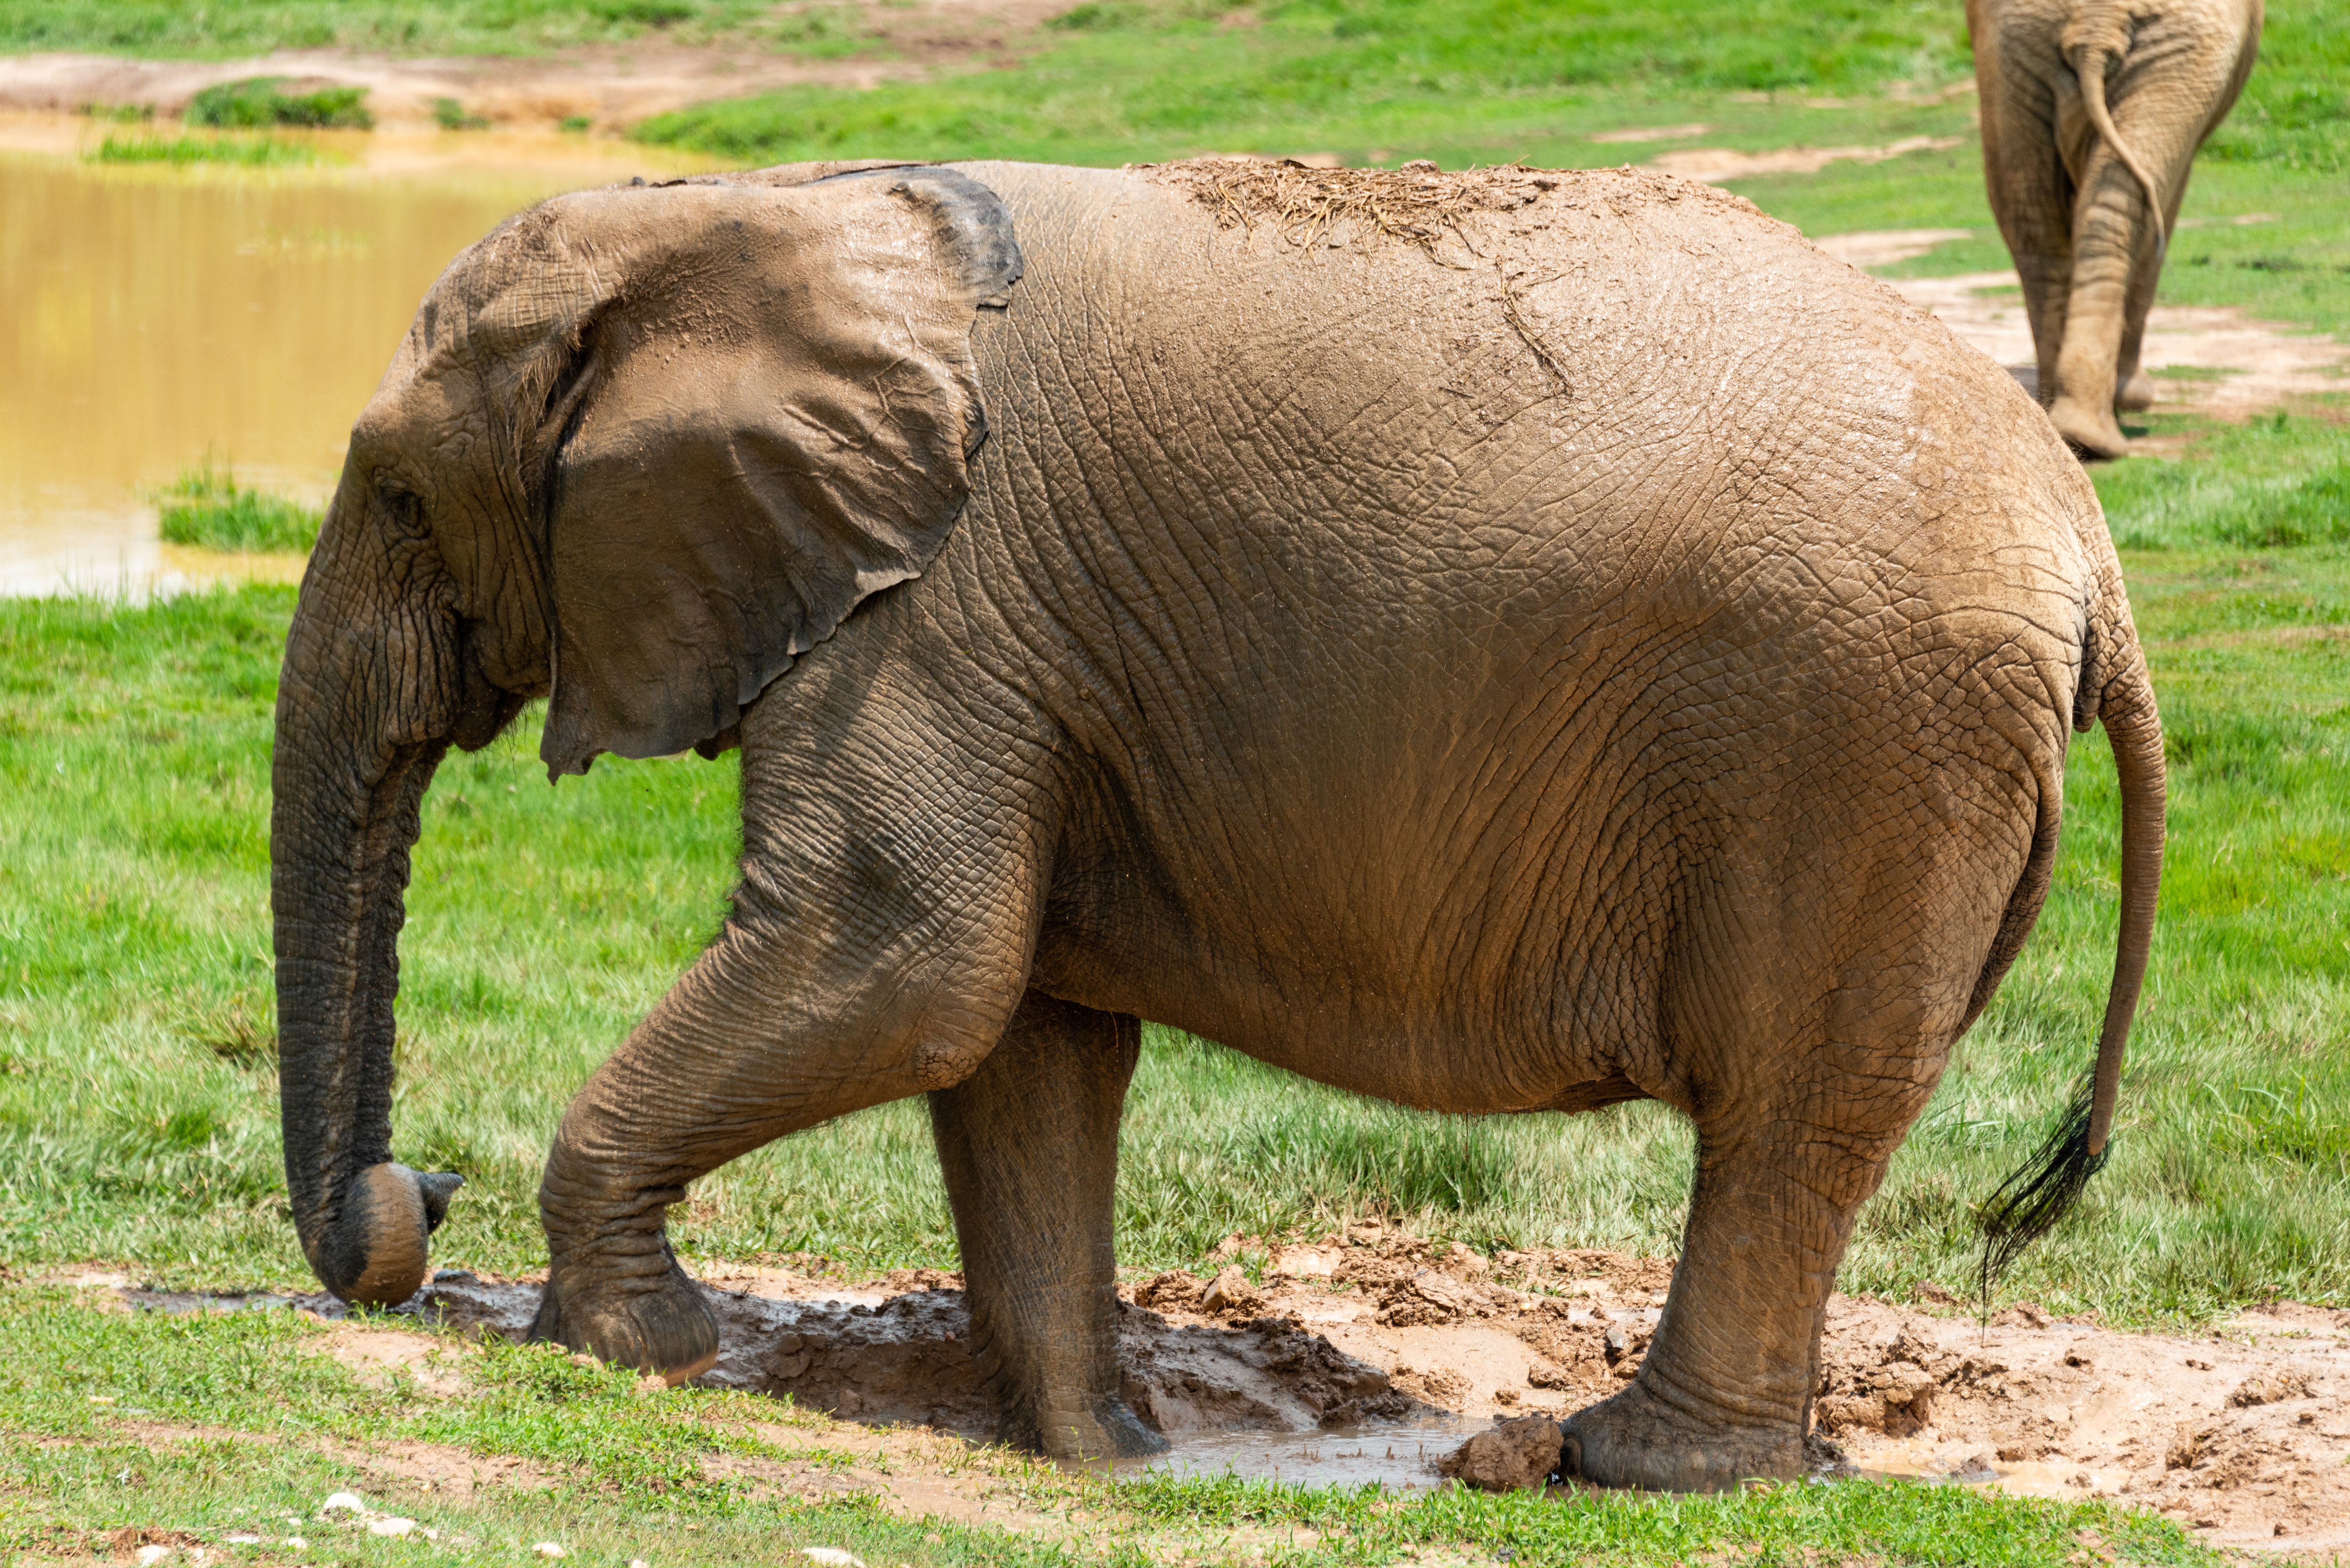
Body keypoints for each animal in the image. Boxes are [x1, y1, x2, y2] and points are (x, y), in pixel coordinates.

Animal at [270, 157, 2166, 1493]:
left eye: (395, 493)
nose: (410, 1191)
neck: (766, 210)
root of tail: (2088, 542)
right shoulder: (1015, 644)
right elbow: (1018, 1033)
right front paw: (1093, 1450)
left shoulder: (933, 605)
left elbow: (904, 953)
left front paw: (640, 1347)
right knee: (1813, 1124)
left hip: (1859, 748)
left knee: (1786, 1116)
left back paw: (1626, 1465)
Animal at [1970, 0, 2262, 458]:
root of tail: (2096, 25)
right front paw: (2134, 399)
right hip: (2187, 55)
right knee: (2128, 205)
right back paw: (2098, 426)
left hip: (2016, 46)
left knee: (2031, 216)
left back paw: (2069, 428)